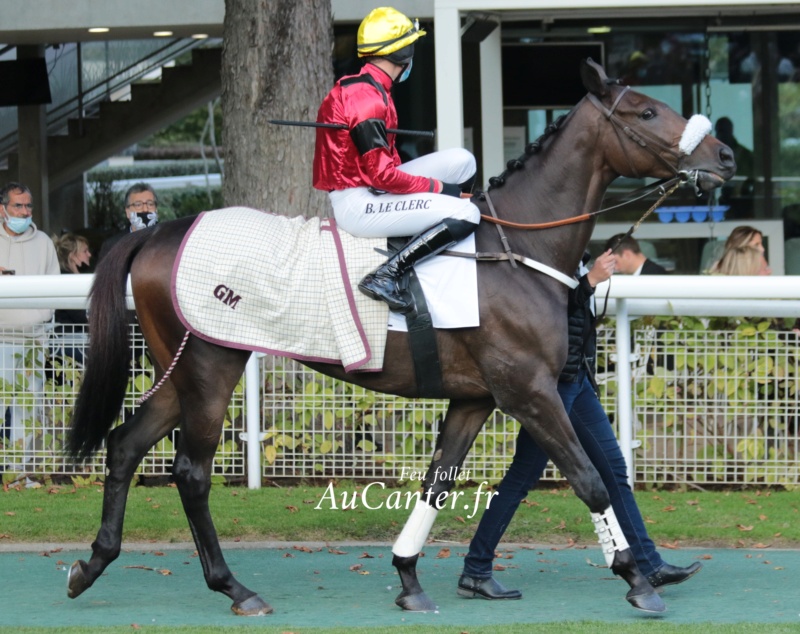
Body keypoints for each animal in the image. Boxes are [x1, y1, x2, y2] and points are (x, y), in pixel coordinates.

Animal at [65, 59, 736, 612]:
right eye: (648, 111)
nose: (725, 156)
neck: (516, 248)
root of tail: (158, 231)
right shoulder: (530, 391)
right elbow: (590, 477)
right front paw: (637, 578)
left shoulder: (475, 398)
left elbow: (438, 484)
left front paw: (409, 578)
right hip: (212, 366)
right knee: (191, 471)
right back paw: (234, 587)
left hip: (177, 367)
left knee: (125, 443)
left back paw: (92, 564)